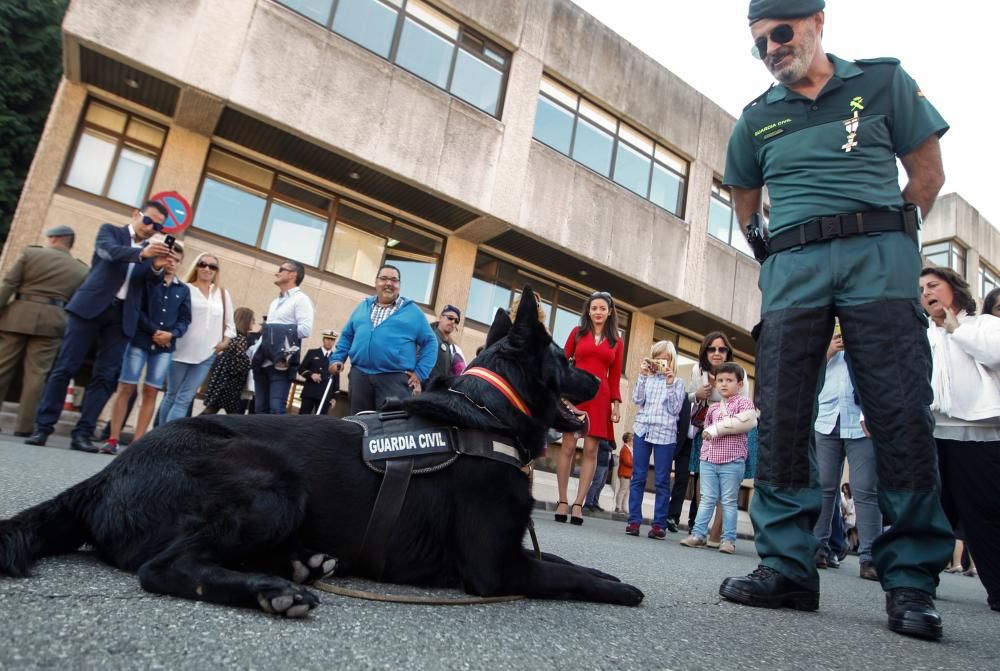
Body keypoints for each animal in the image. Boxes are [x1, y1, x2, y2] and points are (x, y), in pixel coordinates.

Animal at [0, 286, 644, 616]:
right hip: (270, 482)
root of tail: (104, 476)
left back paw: (297, 566)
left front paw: (604, 570)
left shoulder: (513, 551)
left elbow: (563, 561)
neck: (489, 411)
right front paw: (618, 588)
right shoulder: (498, 568)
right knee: (163, 568)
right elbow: (563, 575)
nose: (601, 382)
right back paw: (273, 590)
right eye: (566, 358)